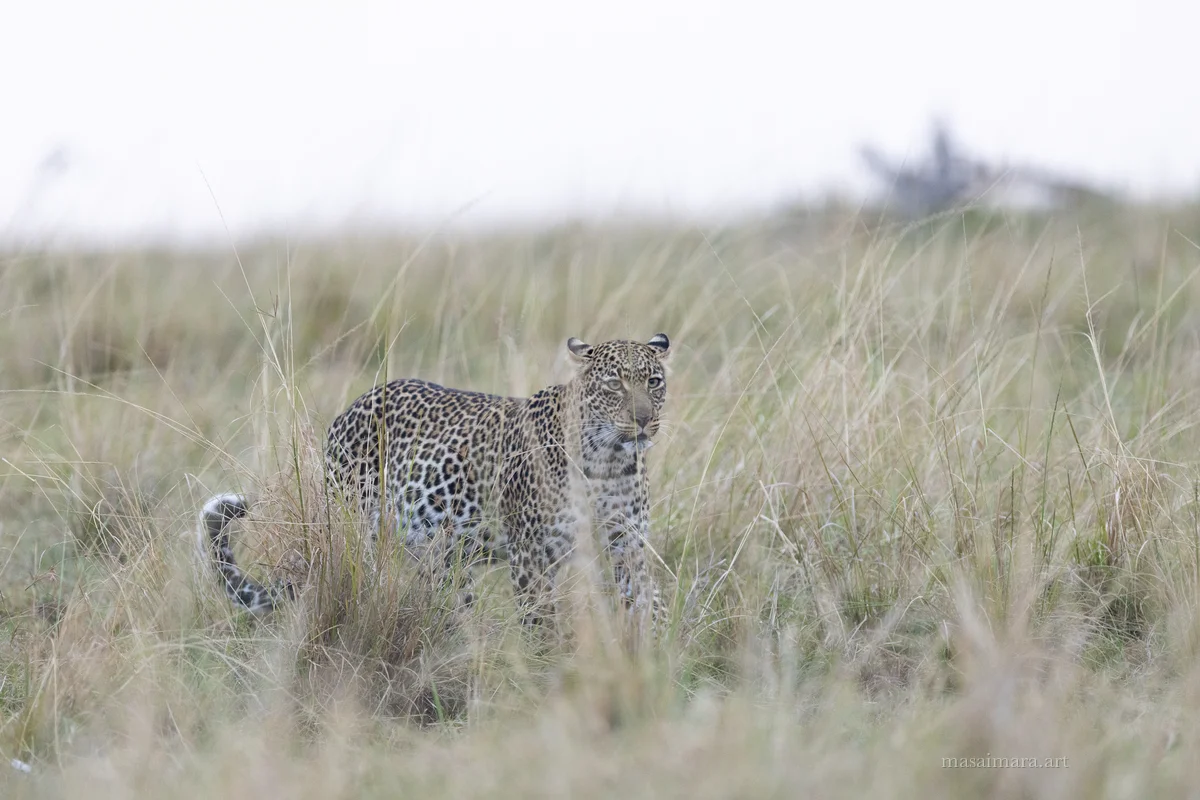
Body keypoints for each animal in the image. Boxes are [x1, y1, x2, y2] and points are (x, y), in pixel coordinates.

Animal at [198, 333, 672, 632]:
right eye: (613, 383)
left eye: (654, 381)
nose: (643, 420)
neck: (610, 463)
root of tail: (348, 410)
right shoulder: (531, 556)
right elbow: (540, 624)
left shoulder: (629, 543)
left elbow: (650, 604)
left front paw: (660, 661)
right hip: (359, 537)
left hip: (444, 559)